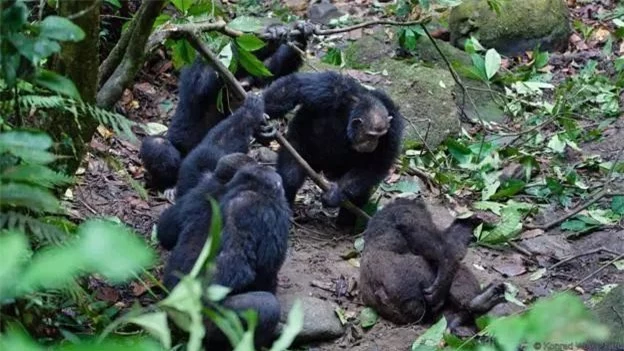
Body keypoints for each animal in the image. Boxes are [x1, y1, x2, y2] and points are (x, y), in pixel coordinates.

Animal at [140, 21, 314, 192]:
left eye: (248, 88)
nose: (243, 93)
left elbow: (271, 72)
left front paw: (298, 35)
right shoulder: (197, 71)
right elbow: (205, 80)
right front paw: (272, 35)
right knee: (157, 146)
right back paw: (169, 186)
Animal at [262, 70, 404, 227]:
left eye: (380, 136)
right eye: (370, 135)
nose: (374, 143)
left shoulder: (393, 130)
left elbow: (377, 164)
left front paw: (335, 194)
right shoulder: (330, 88)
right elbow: (294, 88)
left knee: (360, 191)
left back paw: (345, 222)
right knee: (290, 175)